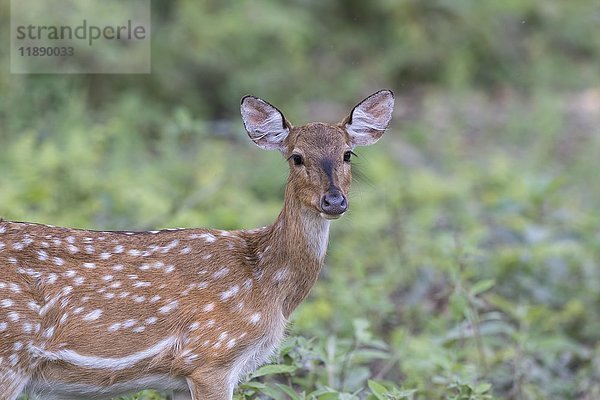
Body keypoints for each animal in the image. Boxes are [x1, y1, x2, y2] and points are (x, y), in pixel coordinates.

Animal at [1, 90, 394, 400]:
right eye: (296, 157)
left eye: (348, 154)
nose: (334, 200)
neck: (266, 281)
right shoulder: (211, 356)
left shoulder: (181, 376)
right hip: (10, 356)